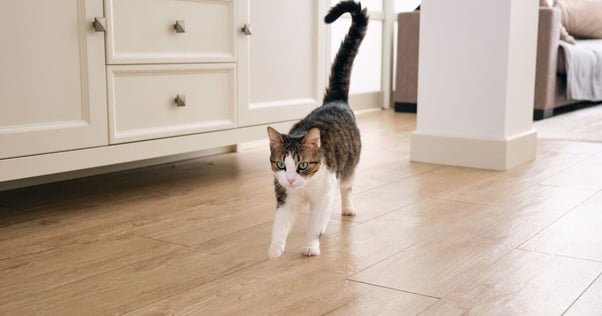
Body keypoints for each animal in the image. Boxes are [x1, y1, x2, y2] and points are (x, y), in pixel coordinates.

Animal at [266, 0, 366, 260]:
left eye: (302, 165)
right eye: (281, 165)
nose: (291, 179)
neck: (304, 189)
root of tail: (335, 100)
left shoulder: (323, 195)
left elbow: (314, 223)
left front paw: (311, 245)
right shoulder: (285, 196)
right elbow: (280, 224)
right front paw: (275, 249)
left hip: (349, 165)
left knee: (347, 187)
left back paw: (348, 208)